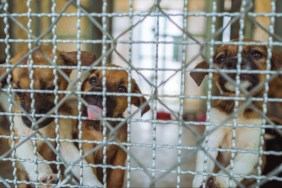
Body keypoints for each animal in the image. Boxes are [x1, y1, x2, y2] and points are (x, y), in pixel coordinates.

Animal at [0, 46, 103, 187]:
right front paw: (45, 174)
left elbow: (83, 167)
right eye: (19, 92)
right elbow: (34, 158)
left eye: (50, 89)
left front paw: (93, 182)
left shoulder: (65, 143)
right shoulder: (18, 139)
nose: (30, 121)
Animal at [191, 39, 280, 187]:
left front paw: (220, 181)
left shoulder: (251, 150)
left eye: (256, 54)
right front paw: (200, 180)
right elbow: (204, 162)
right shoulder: (212, 137)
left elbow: (237, 167)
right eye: (221, 58)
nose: (233, 62)